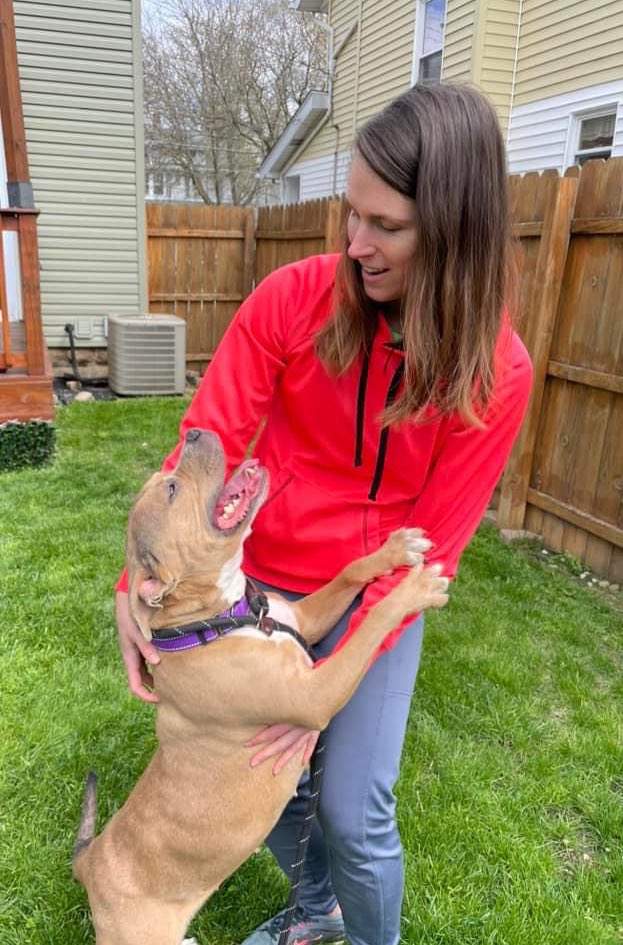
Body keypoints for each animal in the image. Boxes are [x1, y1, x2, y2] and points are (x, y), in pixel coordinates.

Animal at [73, 430, 448, 944]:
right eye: (172, 490)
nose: (194, 433)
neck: (219, 618)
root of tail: (90, 864)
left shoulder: (306, 618)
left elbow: (347, 573)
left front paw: (392, 551)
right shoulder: (316, 692)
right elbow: (370, 627)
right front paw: (413, 591)